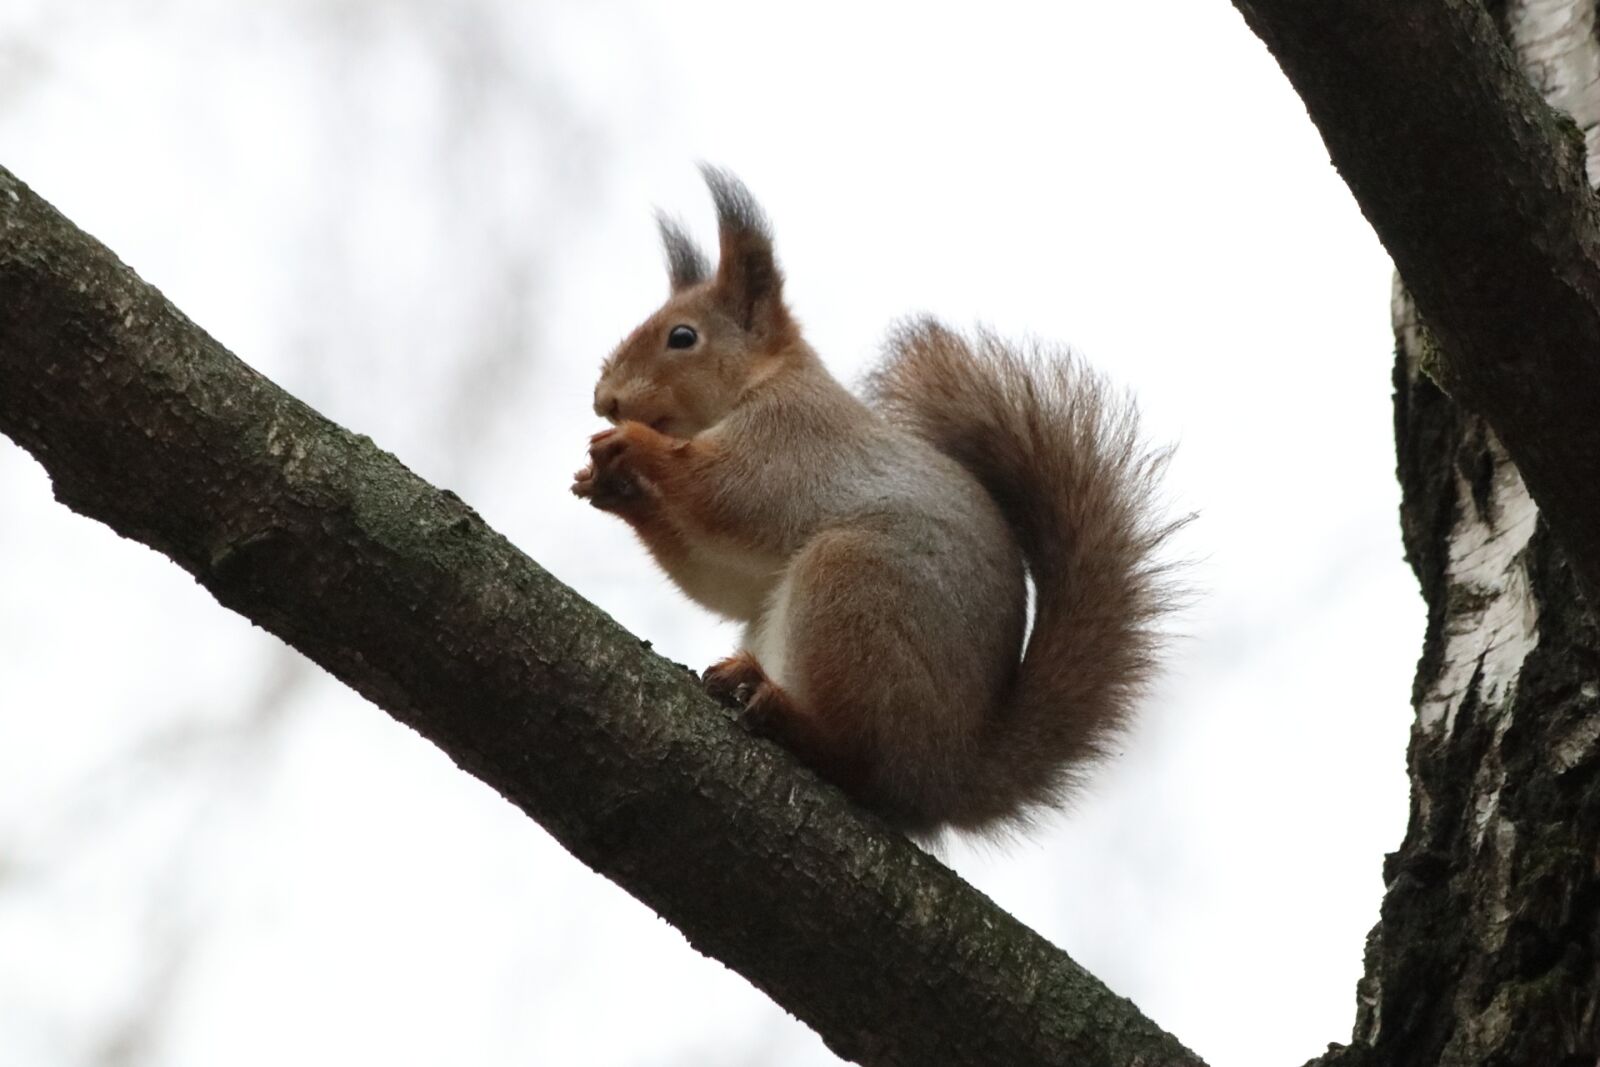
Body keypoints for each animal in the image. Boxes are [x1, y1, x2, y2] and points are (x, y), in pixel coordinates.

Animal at [569, 168, 1184, 831]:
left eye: (683, 337)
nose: (604, 399)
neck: (763, 382)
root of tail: (944, 778)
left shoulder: (791, 442)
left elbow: (726, 489)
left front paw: (634, 446)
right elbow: (722, 578)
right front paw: (610, 487)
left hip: (854, 587)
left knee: (858, 761)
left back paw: (782, 712)